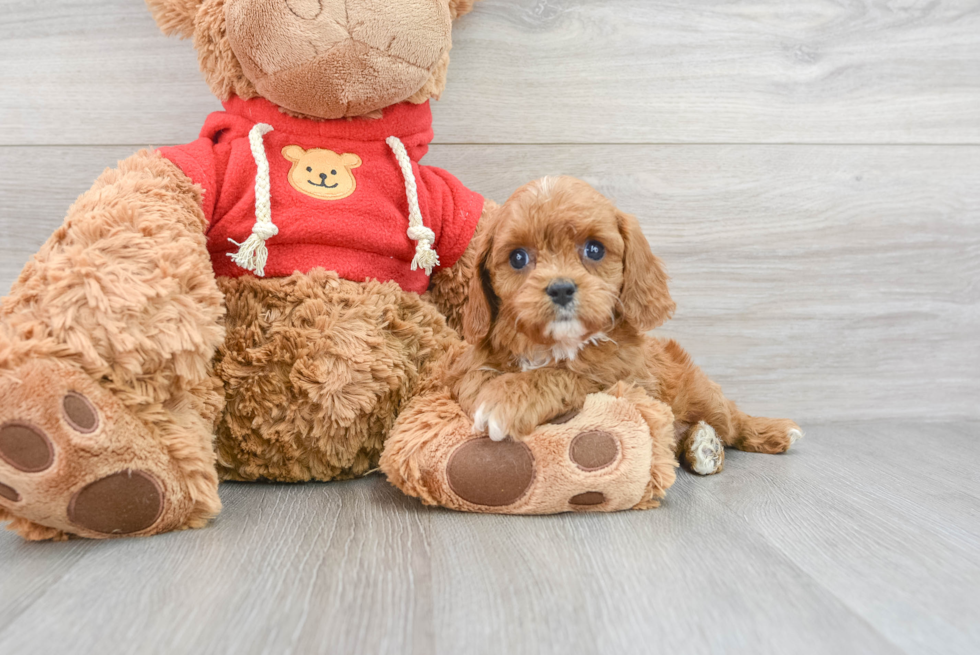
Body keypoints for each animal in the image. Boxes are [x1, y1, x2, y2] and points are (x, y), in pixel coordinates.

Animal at [448, 177, 800, 474]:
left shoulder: (619, 378)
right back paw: (701, 445)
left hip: (702, 393)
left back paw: (765, 432)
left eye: (594, 249)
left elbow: (564, 374)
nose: (561, 288)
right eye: (518, 258)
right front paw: (488, 390)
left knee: (732, 420)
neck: (557, 344)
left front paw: (506, 398)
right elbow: (471, 378)